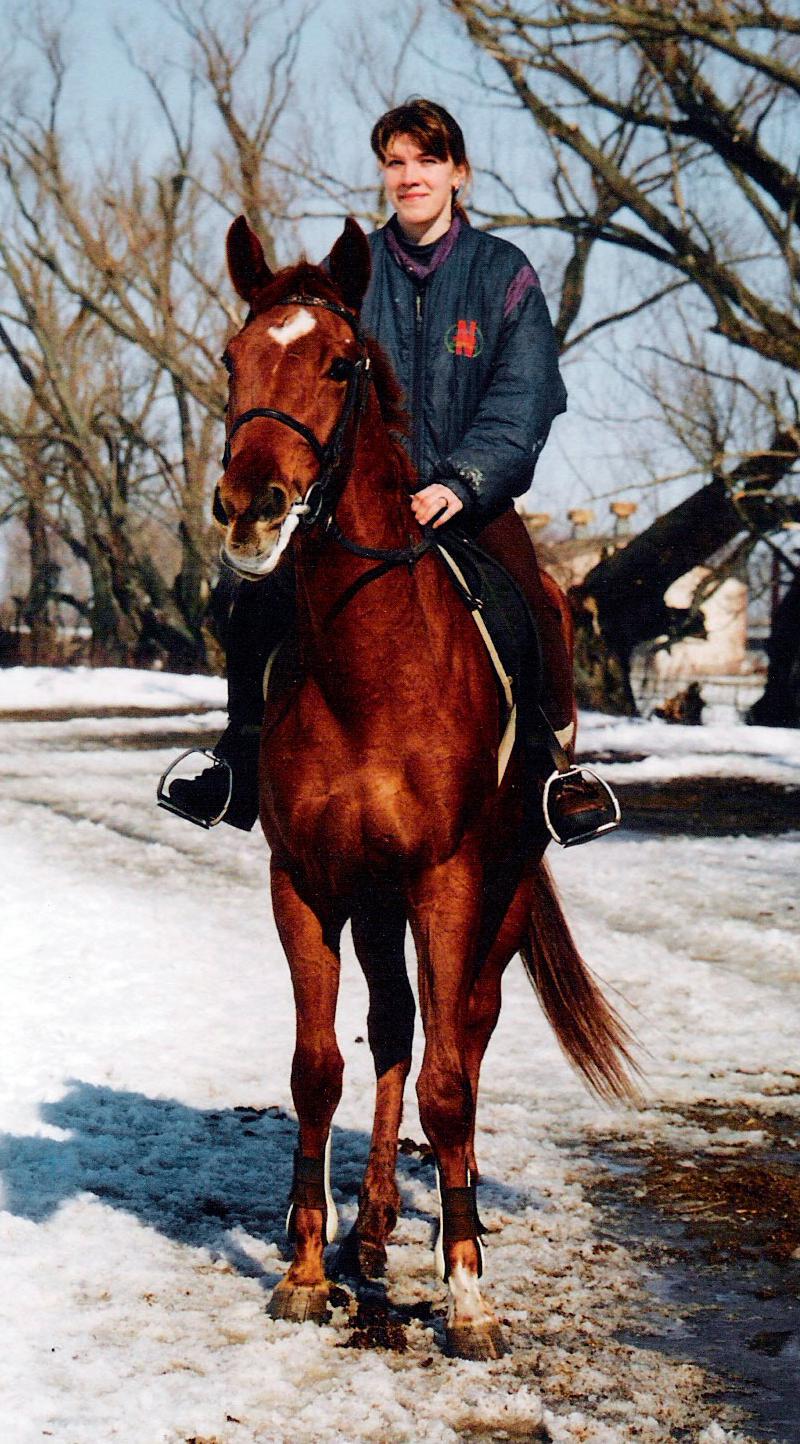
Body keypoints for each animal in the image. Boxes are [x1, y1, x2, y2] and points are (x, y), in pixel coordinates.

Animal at [215, 214, 635, 1360]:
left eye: (338, 362)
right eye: (232, 359)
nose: (250, 509)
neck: (371, 669)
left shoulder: (448, 881)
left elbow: (451, 1078)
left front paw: (470, 1292)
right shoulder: (306, 883)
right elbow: (319, 1067)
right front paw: (307, 1269)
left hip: (499, 887)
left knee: (467, 1031)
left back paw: (457, 1214)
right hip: (374, 898)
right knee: (398, 1027)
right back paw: (369, 1225)